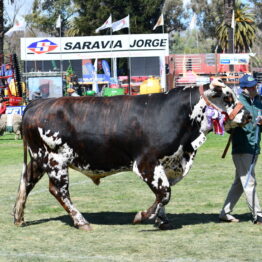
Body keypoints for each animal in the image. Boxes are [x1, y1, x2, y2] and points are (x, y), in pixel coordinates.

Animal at [13, 79, 251, 230]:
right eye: (227, 97)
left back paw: (18, 217)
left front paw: (161, 220)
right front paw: (142, 216)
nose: (248, 115)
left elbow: (164, 195)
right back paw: (81, 221)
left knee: (26, 182)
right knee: (58, 191)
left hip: (39, 159)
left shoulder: (169, 164)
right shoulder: (146, 163)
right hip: (55, 161)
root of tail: (38, 103)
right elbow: (165, 192)